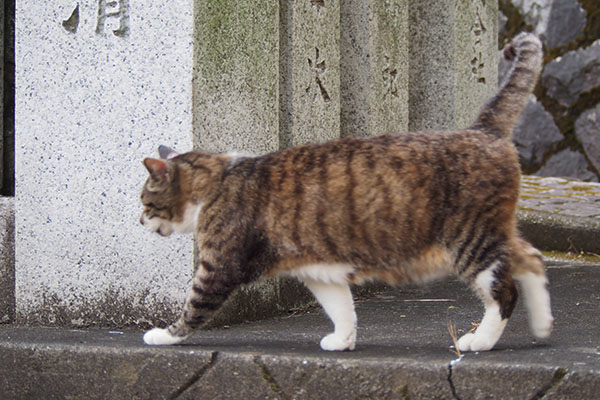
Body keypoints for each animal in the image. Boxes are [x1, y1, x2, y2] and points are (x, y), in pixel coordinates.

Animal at [141, 33, 552, 354]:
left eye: (146, 202)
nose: (140, 219)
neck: (218, 181)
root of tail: (482, 130)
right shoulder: (319, 270)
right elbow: (341, 308)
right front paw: (343, 340)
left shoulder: (219, 266)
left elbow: (194, 307)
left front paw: (163, 335)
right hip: (491, 233)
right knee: (531, 258)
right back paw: (543, 326)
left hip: (470, 240)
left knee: (504, 291)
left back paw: (480, 341)